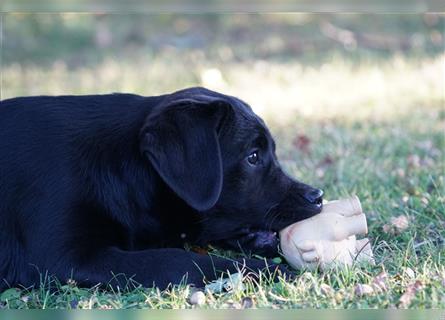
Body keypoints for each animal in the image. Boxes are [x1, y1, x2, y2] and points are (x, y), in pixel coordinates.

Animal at [0, 87, 320, 290]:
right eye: (253, 156)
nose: (318, 196)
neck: (116, 166)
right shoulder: (64, 258)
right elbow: (176, 259)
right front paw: (264, 270)